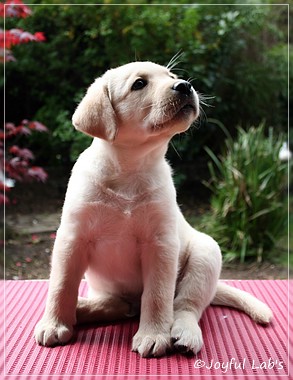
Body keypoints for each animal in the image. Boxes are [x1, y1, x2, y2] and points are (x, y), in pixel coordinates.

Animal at [34, 60, 272, 358]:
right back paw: (83, 308)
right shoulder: (72, 238)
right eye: (139, 84)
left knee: (185, 306)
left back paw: (184, 333)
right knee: (118, 305)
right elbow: (62, 285)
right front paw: (54, 324)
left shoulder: (160, 244)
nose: (185, 85)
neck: (130, 168)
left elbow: (157, 295)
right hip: (106, 287)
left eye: (171, 76)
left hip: (205, 255)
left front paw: (153, 334)